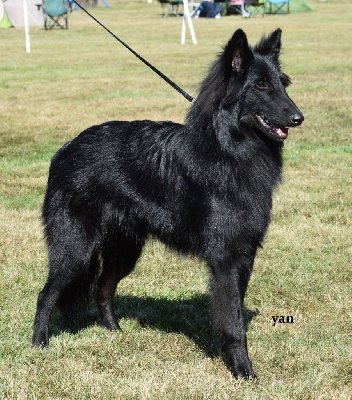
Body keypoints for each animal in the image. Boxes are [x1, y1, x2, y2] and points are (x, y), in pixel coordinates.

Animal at [32, 28, 302, 378]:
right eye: (260, 85)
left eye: (283, 83)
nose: (299, 118)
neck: (228, 149)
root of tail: (65, 148)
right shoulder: (226, 259)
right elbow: (233, 321)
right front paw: (243, 371)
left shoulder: (245, 254)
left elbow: (236, 313)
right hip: (76, 250)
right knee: (47, 293)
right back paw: (39, 344)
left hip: (126, 250)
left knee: (102, 287)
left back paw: (114, 332)